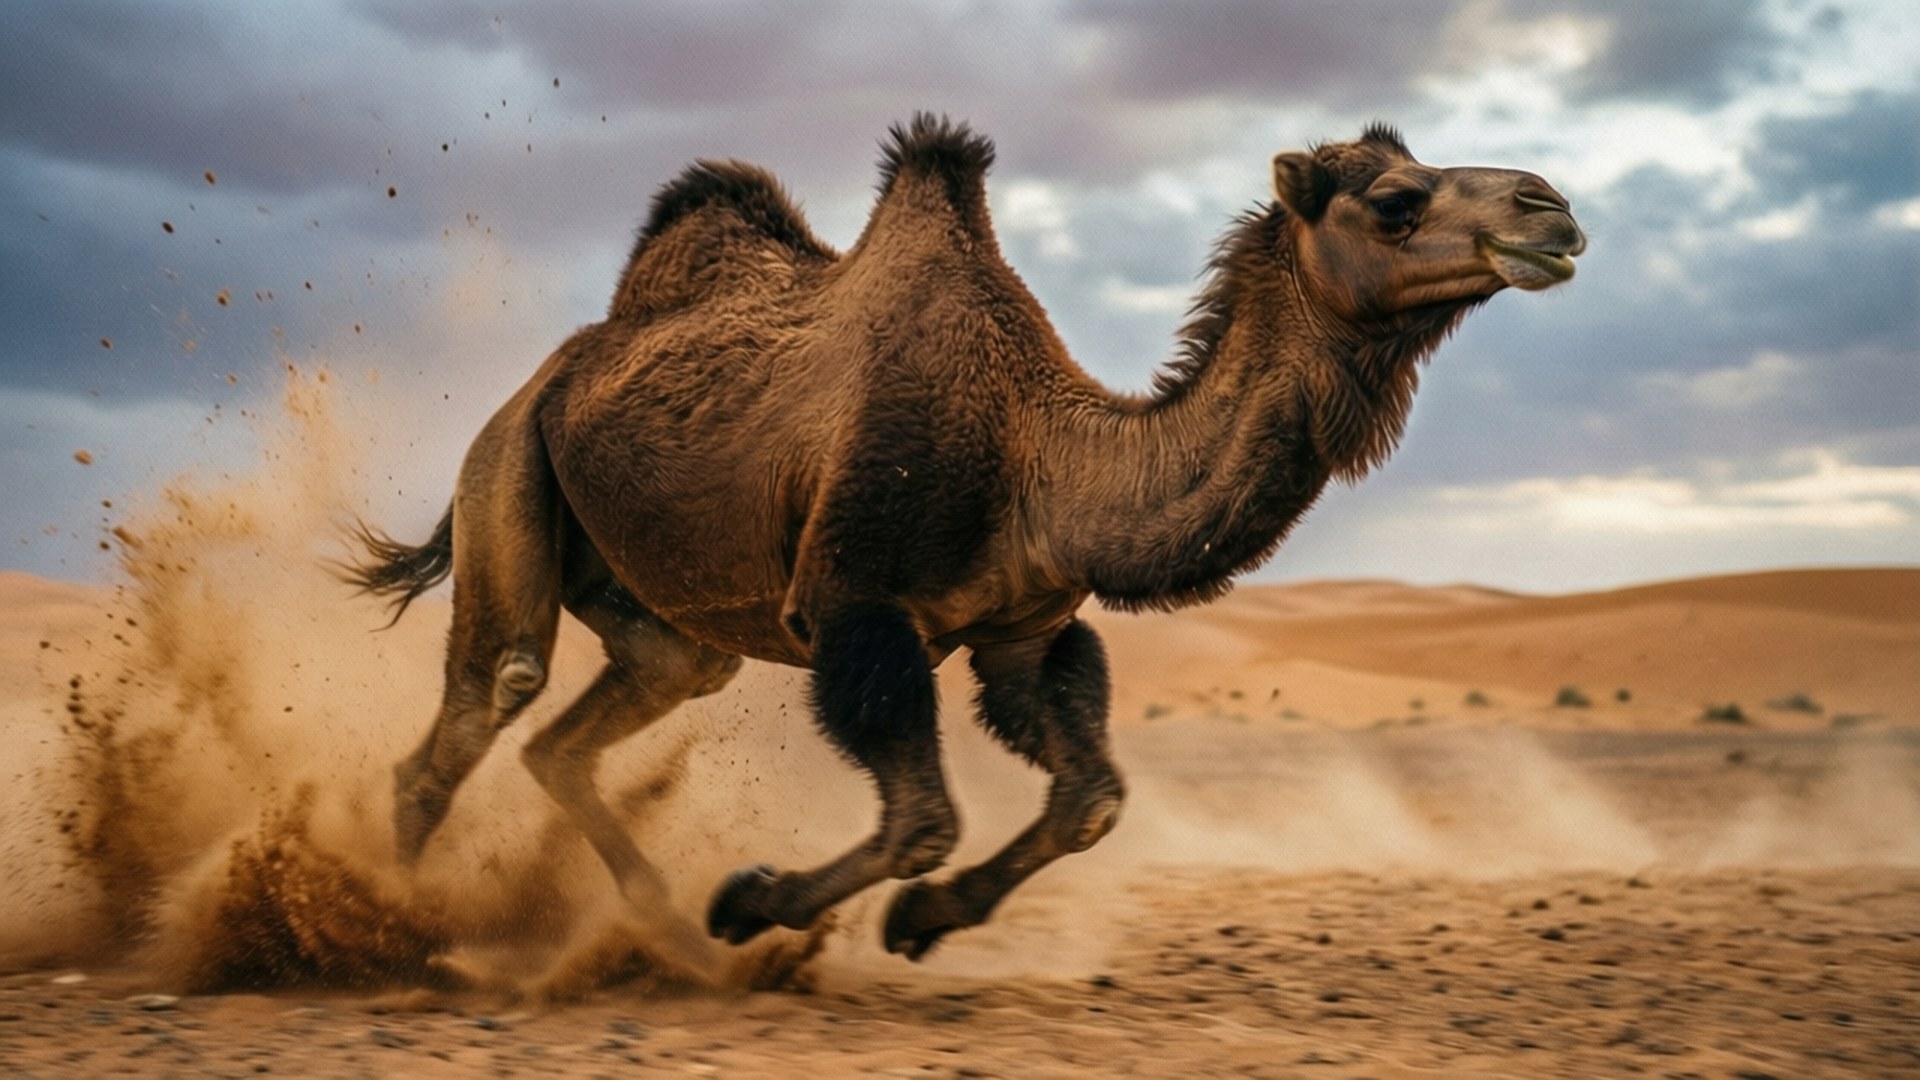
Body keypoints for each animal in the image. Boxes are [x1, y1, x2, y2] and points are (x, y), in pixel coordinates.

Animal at [346, 114, 1585, 967]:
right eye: (1393, 199)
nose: (1553, 207)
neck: (1040, 456)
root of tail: (549, 376)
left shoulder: (1025, 633)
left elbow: (1091, 800)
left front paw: (913, 922)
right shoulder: (856, 610)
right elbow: (926, 819)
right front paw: (753, 900)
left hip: (671, 620)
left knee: (585, 726)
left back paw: (656, 934)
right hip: (508, 472)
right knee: (484, 701)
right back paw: (396, 927)